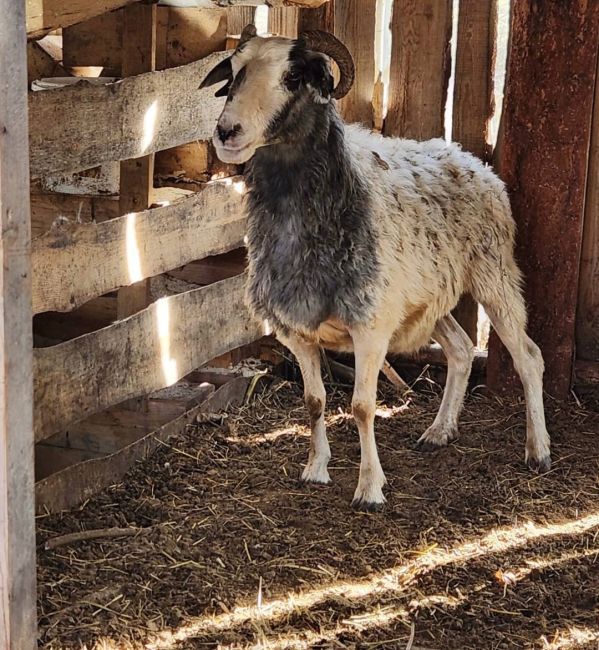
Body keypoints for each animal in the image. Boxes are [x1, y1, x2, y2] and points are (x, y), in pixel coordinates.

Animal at [202, 25, 552, 508]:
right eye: (233, 72)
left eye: (293, 76)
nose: (226, 131)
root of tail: (471, 159)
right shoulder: (296, 330)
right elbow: (314, 401)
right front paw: (316, 469)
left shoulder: (370, 326)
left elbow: (362, 407)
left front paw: (369, 487)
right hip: (425, 298)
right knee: (462, 350)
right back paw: (438, 432)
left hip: (494, 275)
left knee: (529, 357)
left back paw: (538, 450)